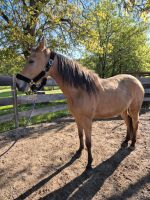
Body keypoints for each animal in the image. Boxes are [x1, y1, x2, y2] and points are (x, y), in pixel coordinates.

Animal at [16, 37, 144, 169]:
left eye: (31, 61)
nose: (18, 84)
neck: (80, 91)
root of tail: (136, 80)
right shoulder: (77, 118)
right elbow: (80, 135)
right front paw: (79, 151)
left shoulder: (87, 120)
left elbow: (89, 142)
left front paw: (89, 163)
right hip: (123, 110)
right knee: (128, 122)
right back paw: (125, 141)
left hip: (134, 110)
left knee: (135, 123)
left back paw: (132, 144)